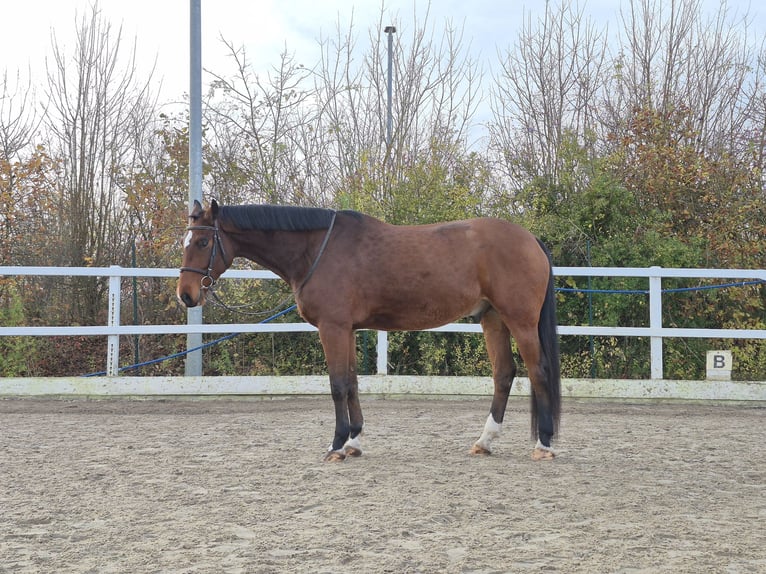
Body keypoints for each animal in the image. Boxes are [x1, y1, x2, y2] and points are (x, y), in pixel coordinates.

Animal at [177, 199, 561, 462]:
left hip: (520, 321)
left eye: (202, 243)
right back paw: (485, 441)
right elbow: (351, 382)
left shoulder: (332, 328)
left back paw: (543, 443)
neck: (318, 250)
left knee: (538, 372)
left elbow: (337, 385)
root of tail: (531, 239)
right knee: (504, 374)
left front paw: (335, 445)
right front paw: (353, 442)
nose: (186, 294)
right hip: (492, 318)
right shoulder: (345, 329)